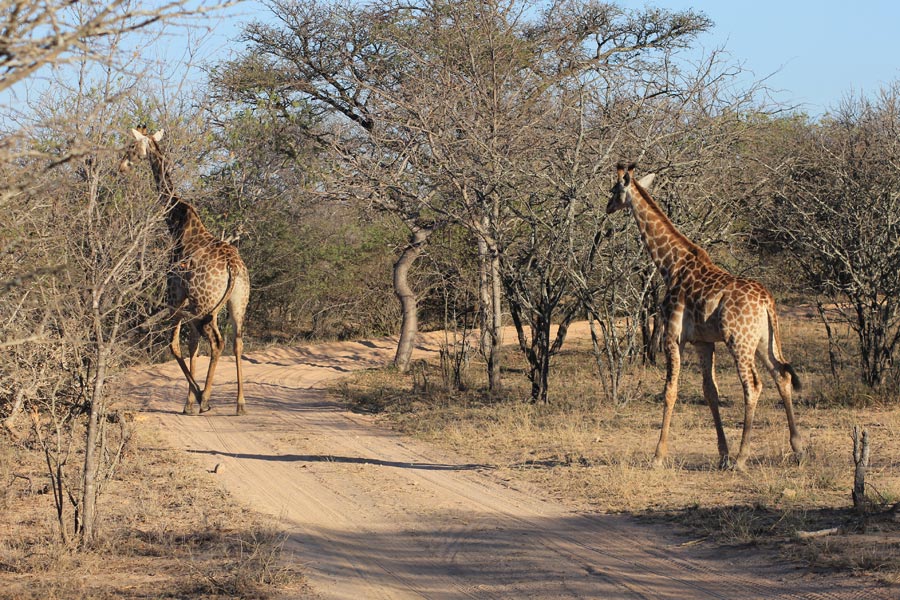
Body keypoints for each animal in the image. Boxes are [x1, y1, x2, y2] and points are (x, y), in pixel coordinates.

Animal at [120, 125, 250, 418]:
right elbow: (192, 345)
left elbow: (174, 344)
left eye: (131, 148)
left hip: (205, 304)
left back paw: (206, 399)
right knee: (236, 341)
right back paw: (240, 404)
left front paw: (195, 398)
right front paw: (188, 402)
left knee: (217, 342)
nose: (121, 166)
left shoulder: (175, 294)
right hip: (237, 302)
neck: (177, 222)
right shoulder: (190, 302)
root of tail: (233, 267)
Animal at [608, 163, 804, 468]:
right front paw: (722, 453)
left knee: (753, 385)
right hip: (763, 340)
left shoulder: (672, 336)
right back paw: (797, 448)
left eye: (615, 189)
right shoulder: (704, 342)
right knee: (781, 376)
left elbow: (670, 391)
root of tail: (767, 302)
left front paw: (658, 455)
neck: (671, 264)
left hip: (739, 341)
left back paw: (742, 457)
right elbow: (710, 392)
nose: (608, 207)